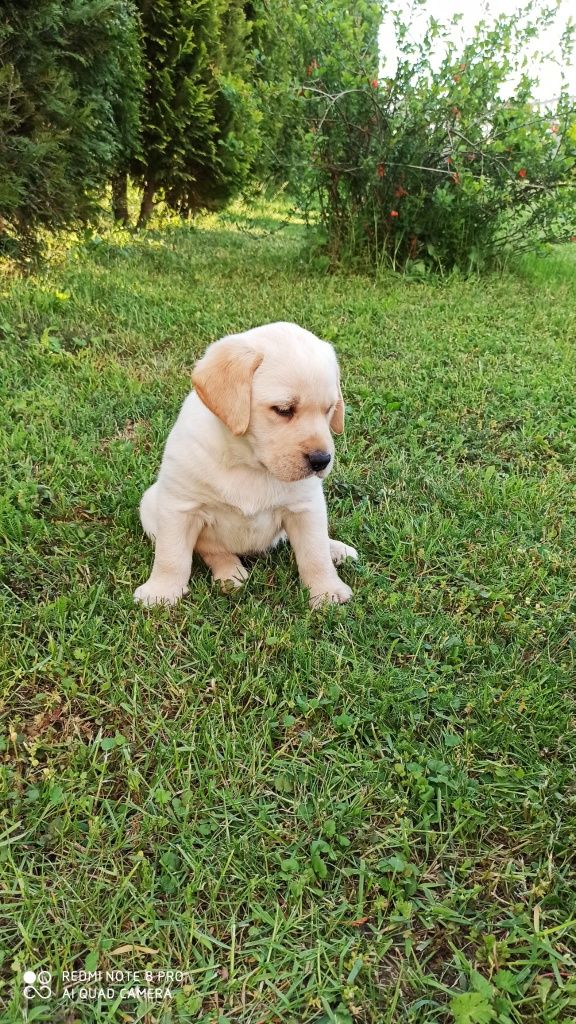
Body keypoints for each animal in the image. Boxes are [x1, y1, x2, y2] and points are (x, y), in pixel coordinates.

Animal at [133, 321, 354, 606]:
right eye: (283, 410)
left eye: (329, 409)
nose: (321, 460)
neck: (249, 463)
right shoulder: (180, 507)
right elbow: (171, 556)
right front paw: (161, 592)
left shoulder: (306, 508)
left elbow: (315, 555)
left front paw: (327, 591)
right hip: (151, 504)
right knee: (210, 549)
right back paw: (230, 573)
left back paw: (336, 548)